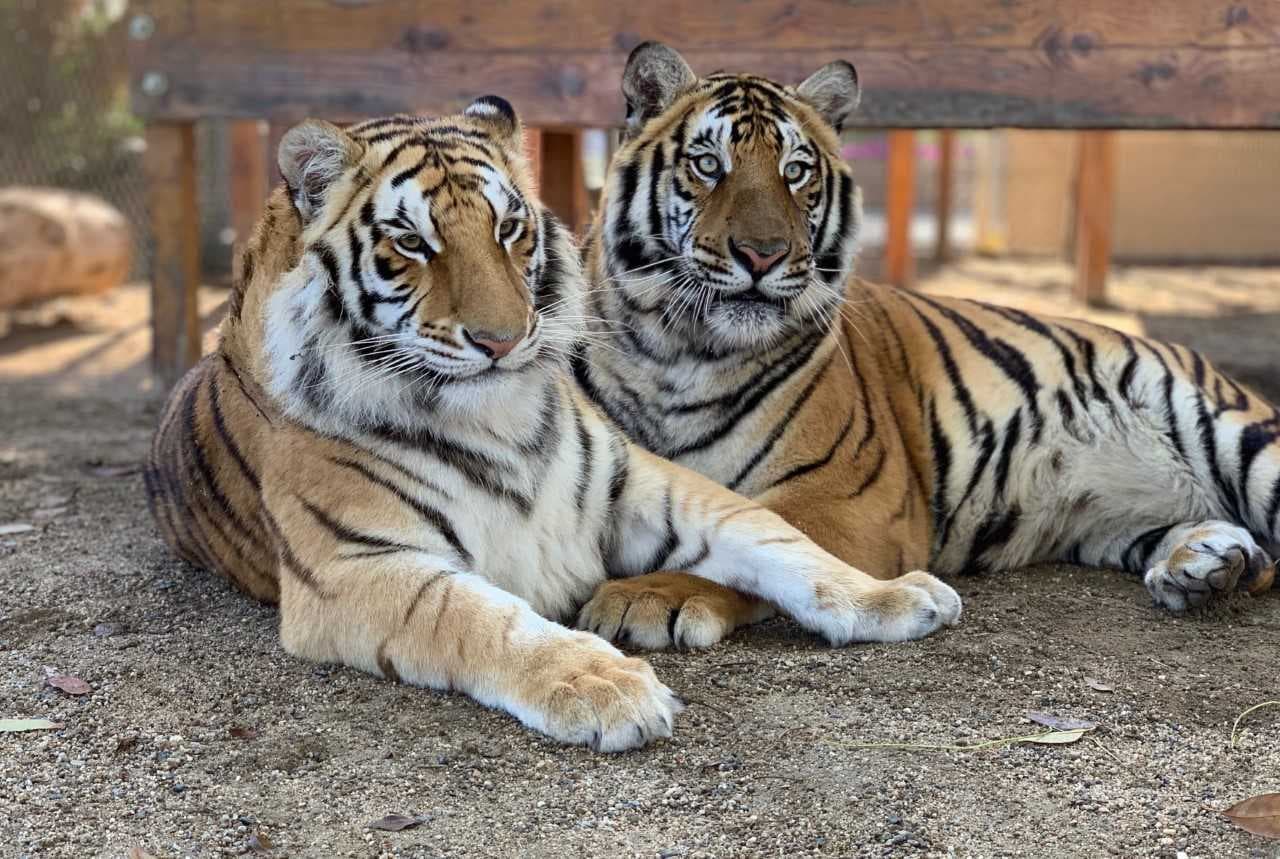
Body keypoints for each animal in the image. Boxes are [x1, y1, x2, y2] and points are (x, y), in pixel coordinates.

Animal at [143, 96, 963, 751]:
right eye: (411, 242)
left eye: (509, 228)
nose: (503, 341)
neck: (495, 419)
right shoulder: (357, 564)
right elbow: (482, 618)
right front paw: (607, 687)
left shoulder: (641, 482)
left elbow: (776, 537)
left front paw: (894, 597)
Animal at [573, 42, 1278, 650]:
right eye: (707, 165)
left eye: (795, 172)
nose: (762, 254)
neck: (677, 353)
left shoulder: (847, 498)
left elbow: (755, 540)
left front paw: (645, 597)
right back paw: (1209, 564)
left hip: (1245, 440)